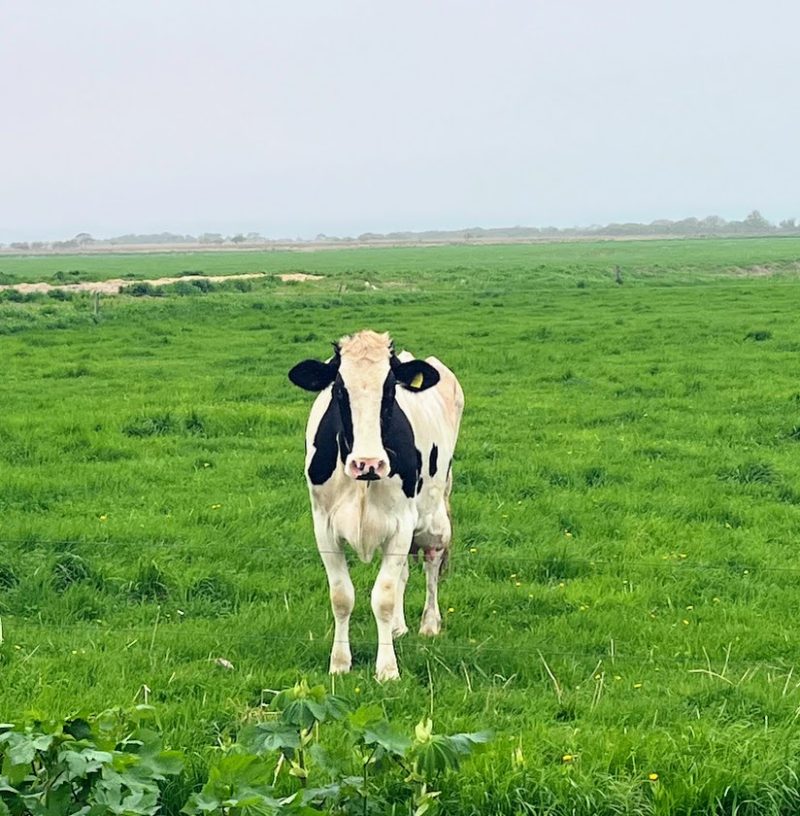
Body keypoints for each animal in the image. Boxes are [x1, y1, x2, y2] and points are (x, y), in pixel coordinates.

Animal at [288, 330, 464, 681]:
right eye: (339, 390)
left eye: (391, 389)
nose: (367, 463)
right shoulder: (323, 526)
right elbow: (342, 596)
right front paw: (340, 663)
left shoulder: (401, 525)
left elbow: (382, 596)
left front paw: (387, 669)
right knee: (404, 575)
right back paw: (397, 628)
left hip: (434, 518)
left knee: (431, 564)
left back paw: (429, 624)